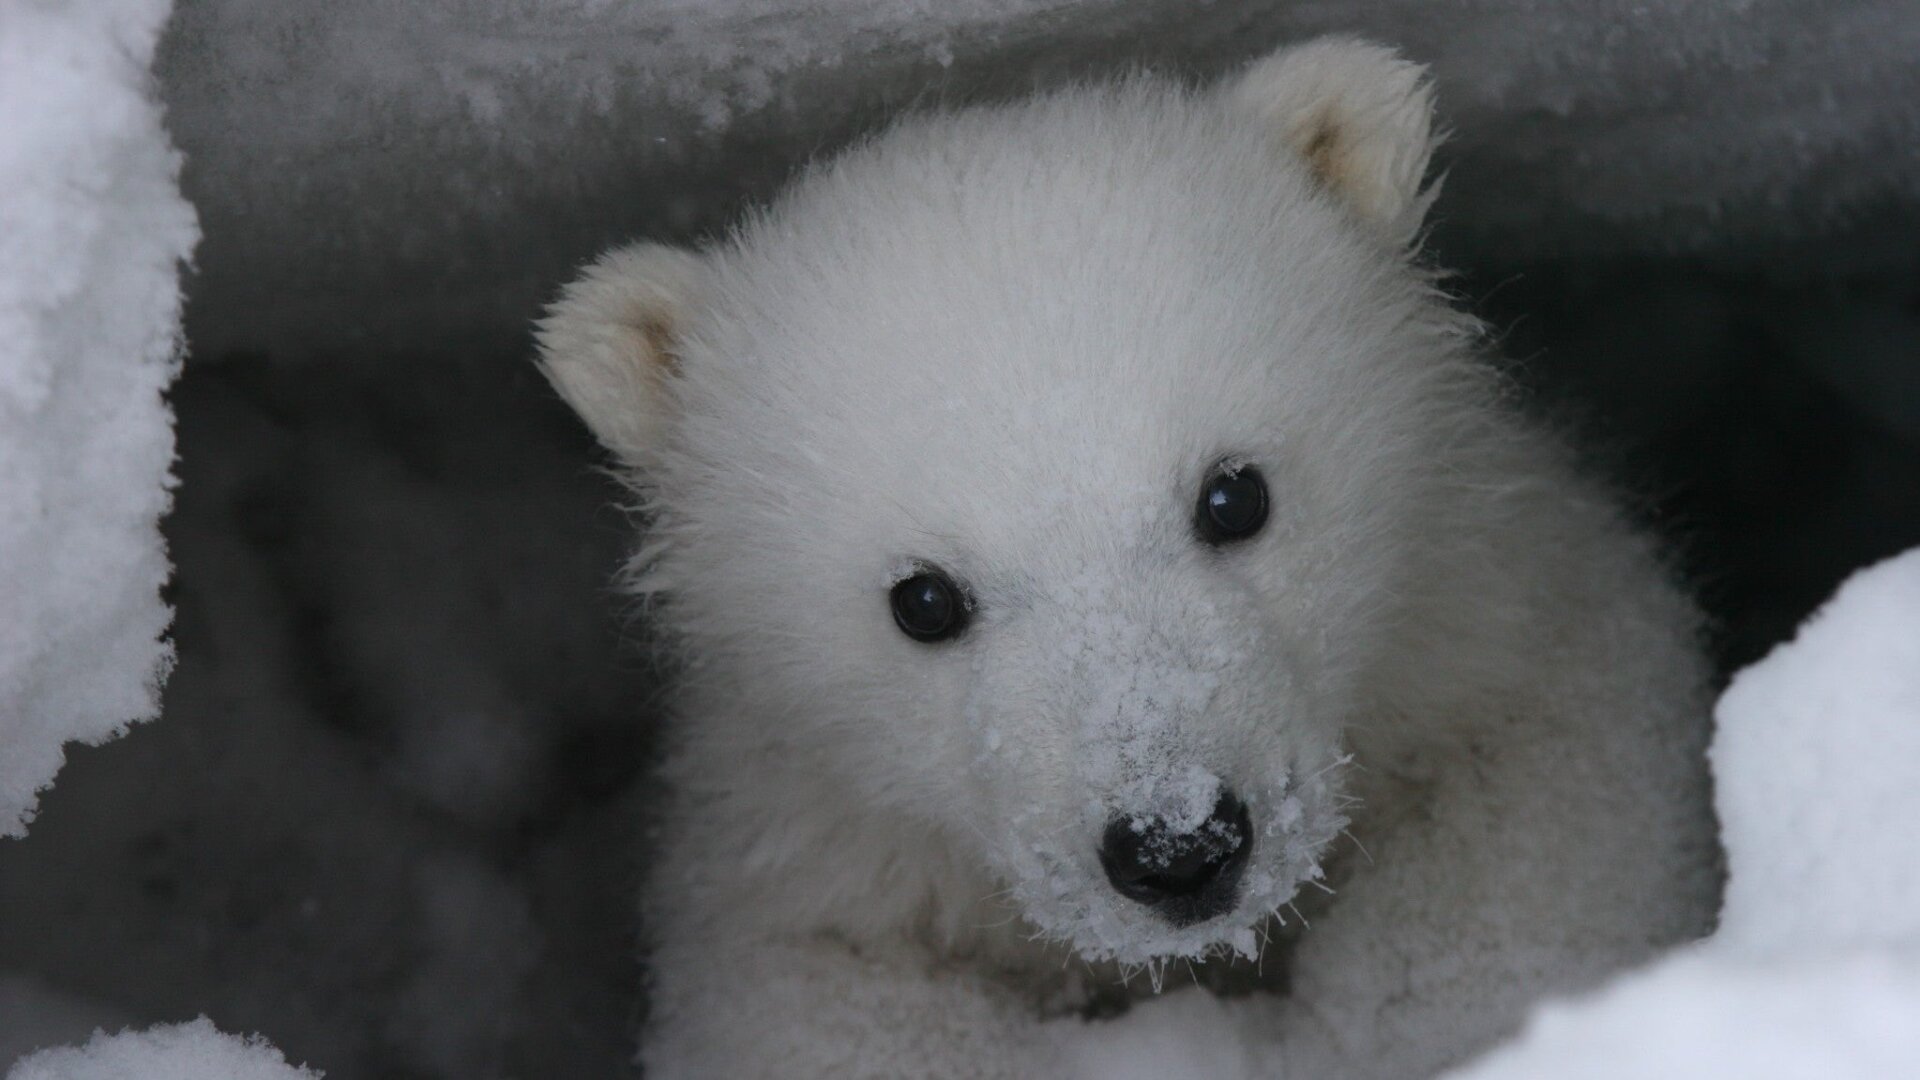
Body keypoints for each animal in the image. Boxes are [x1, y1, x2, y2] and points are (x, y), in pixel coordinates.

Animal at [534, 38, 1719, 1079]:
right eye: (923, 599)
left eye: (1235, 494)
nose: (1178, 847)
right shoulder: (797, 840)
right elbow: (820, 1001)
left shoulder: (1500, 613)